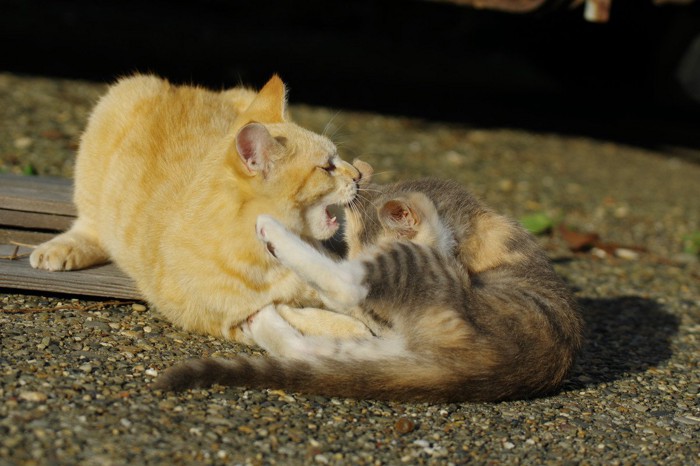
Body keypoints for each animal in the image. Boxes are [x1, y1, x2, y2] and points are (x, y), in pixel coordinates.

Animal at [28, 73, 372, 342]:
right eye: (327, 167)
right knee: (90, 224)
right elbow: (294, 313)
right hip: (116, 105)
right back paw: (62, 248)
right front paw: (350, 329)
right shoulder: (232, 321)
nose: (358, 174)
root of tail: (182, 86)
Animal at [156, 166, 584, 402]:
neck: (474, 224)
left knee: (344, 288)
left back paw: (271, 230)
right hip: (384, 345)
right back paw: (263, 318)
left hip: (419, 275)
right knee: (307, 349)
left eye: (359, 246)